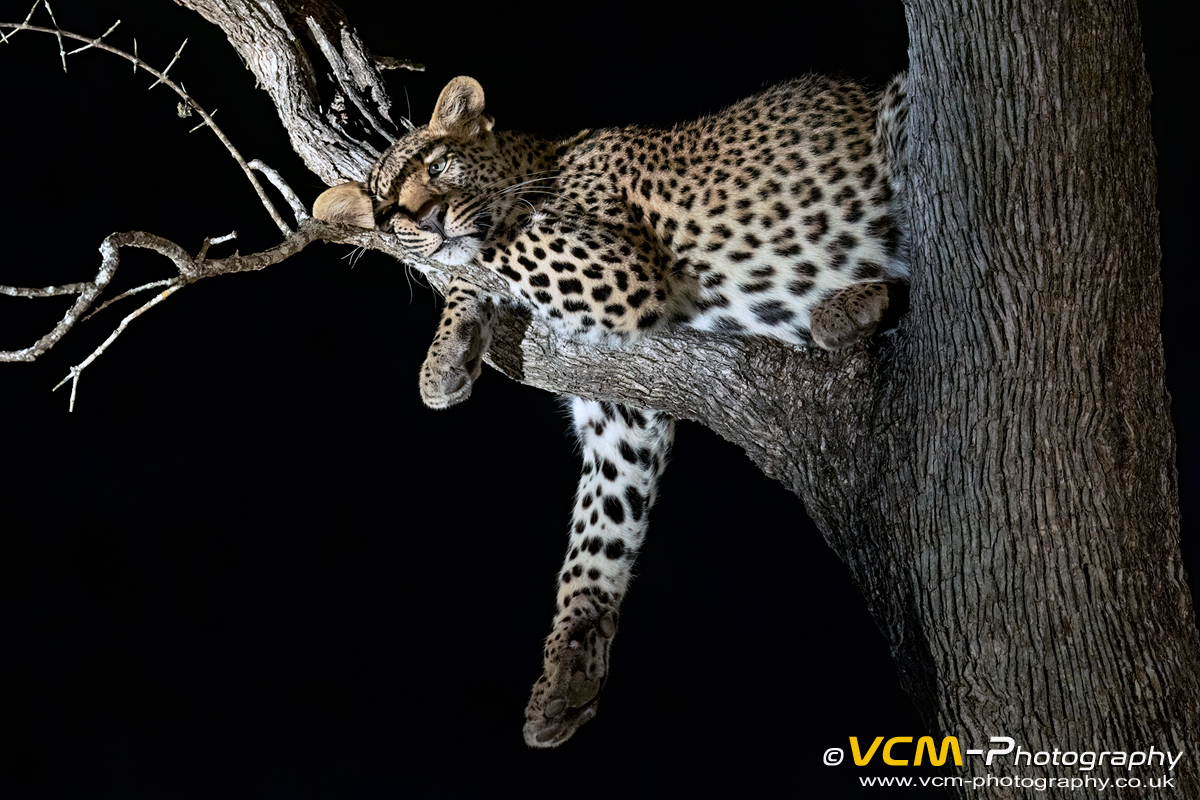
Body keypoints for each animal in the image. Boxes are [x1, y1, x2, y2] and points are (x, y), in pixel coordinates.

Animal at [313, 72, 910, 747]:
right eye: (387, 207)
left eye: (438, 165)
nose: (424, 218)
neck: (543, 160)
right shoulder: (618, 411)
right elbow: (598, 534)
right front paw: (568, 671)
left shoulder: (614, 265)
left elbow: (489, 243)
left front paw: (446, 324)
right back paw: (852, 307)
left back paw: (852, 304)